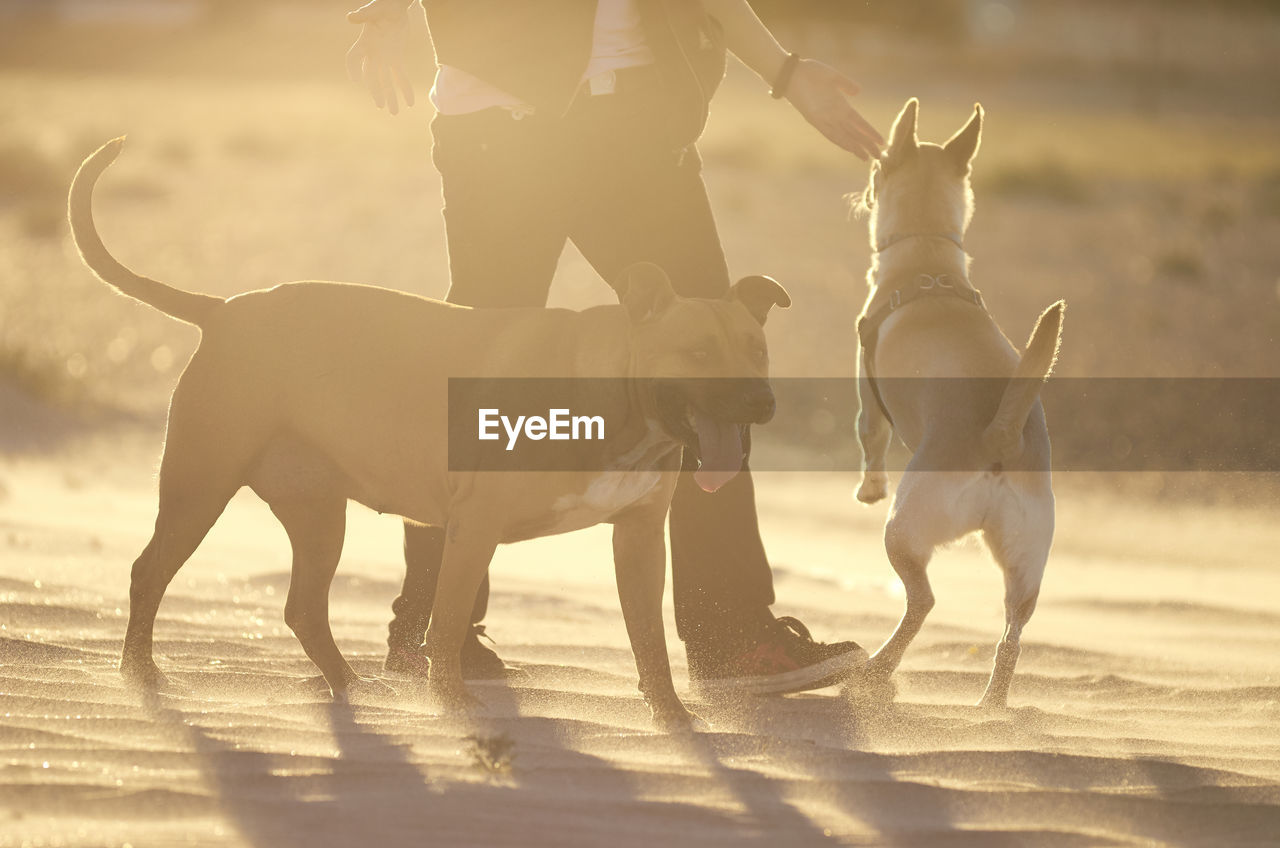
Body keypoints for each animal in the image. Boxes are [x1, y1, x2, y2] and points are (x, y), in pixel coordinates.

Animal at [72, 139, 788, 732]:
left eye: (756, 349)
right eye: (698, 351)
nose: (761, 401)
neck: (613, 391)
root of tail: (223, 310)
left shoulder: (638, 540)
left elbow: (649, 641)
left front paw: (671, 715)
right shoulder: (473, 530)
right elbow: (444, 625)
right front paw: (451, 703)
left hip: (318, 516)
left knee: (303, 609)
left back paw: (349, 685)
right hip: (200, 487)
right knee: (148, 573)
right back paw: (138, 674)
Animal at [849, 101, 1059, 712]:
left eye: (877, 167)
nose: (861, 191)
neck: (928, 258)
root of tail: (999, 434)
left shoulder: (864, 384)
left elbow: (869, 436)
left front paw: (867, 489)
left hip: (903, 531)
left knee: (923, 601)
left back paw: (877, 670)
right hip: (1026, 563)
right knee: (1012, 631)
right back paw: (991, 705)